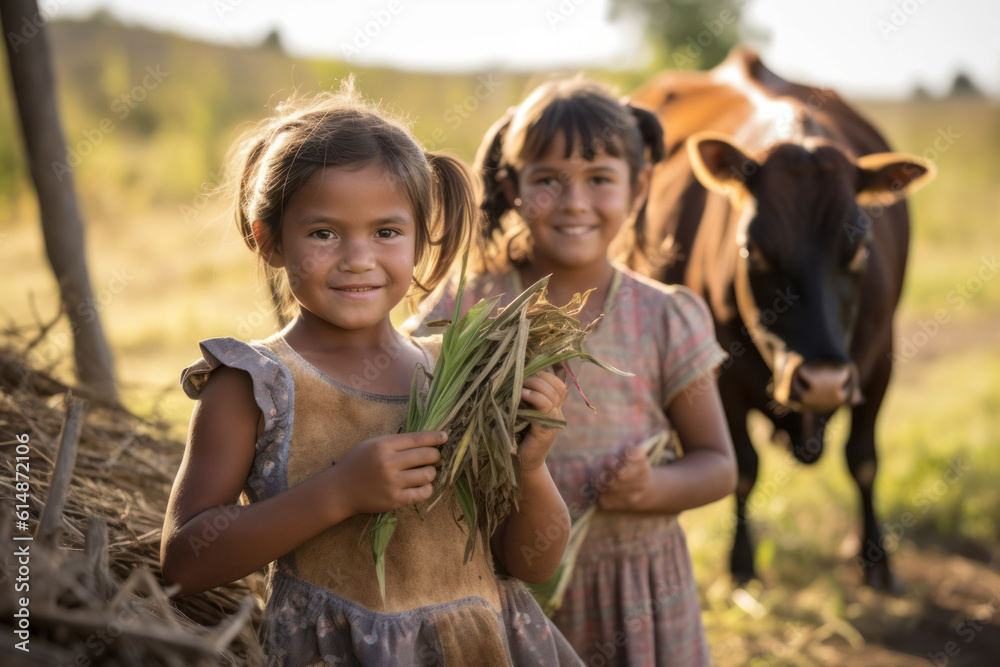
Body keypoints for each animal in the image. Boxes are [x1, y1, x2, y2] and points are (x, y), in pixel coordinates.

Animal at [628, 44, 932, 592]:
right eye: (752, 250)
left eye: (862, 248)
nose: (824, 381)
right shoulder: (717, 373)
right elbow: (742, 468)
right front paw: (742, 564)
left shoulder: (879, 359)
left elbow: (864, 460)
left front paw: (875, 558)